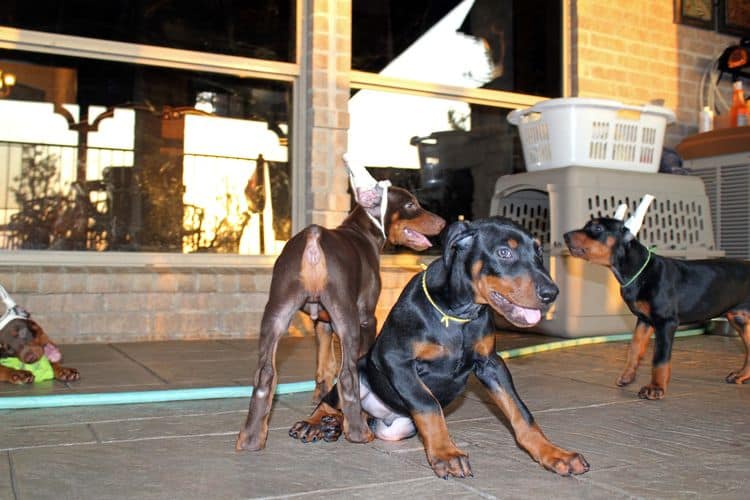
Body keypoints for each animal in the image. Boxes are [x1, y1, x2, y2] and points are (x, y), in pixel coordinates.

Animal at [290, 217, 592, 478]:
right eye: (504, 252)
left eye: (539, 253)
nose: (551, 293)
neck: (457, 315)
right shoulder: (395, 360)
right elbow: (428, 404)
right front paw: (447, 454)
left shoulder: (491, 364)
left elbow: (521, 412)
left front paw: (554, 454)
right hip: (360, 369)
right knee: (332, 399)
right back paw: (317, 423)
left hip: (397, 428)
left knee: (365, 424)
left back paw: (336, 427)